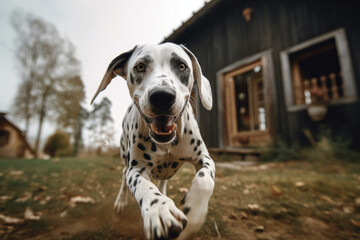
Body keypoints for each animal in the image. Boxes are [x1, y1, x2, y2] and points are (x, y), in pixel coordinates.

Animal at [91, 43, 215, 240]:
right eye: (140, 66)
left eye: (181, 66)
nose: (162, 96)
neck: (166, 144)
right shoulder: (136, 169)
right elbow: (143, 185)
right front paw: (159, 209)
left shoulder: (203, 158)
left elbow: (205, 180)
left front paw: (195, 212)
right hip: (124, 155)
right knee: (123, 175)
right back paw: (121, 201)